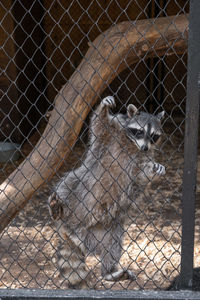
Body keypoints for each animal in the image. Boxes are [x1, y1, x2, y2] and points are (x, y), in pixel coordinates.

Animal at [48, 95, 166, 288]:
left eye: (154, 136)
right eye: (140, 132)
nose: (145, 148)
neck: (133, 145)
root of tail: (70, 229)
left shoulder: (143, 159)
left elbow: (141, 175)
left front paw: (155, 169)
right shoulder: (111, 133)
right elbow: (99, 124)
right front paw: (103, 107)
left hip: (103, 230)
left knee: (113, 243)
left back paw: (109, 272)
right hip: (80, 183)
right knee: (67, 183)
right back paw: (57, 209)